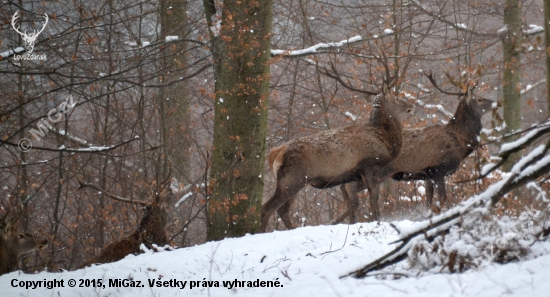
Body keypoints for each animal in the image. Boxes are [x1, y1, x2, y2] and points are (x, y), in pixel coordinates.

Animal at [262, 60, 414, 231]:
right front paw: (376, 221)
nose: (411, 105)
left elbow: (356, 202)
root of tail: (276, 152)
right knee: (268, 208)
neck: (384, 139)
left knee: (282, 210)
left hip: (293, 181)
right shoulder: (368, 164)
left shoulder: (351, 176)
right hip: (292, 178)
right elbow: (373, 197)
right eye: (396, 98)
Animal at [338, 70, 498, 221]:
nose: (496, 103)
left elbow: (428, 201)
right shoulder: (438, 168)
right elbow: (442, 199)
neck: (459, 142)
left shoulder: (427, 174)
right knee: (350, 192)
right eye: (480, 99)